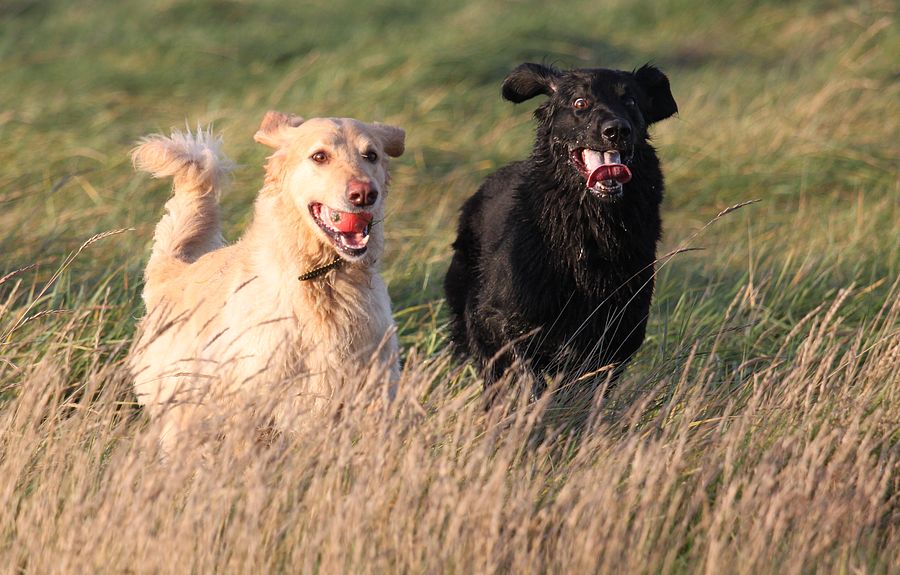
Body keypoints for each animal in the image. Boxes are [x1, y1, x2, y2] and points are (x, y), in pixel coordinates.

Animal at [444, 62, 677, 393]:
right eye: (580, 103)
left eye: (630, 100)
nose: (616, 130)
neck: (588, 232)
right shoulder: (498, 318)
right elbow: (524, 374)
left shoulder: (619, 333)